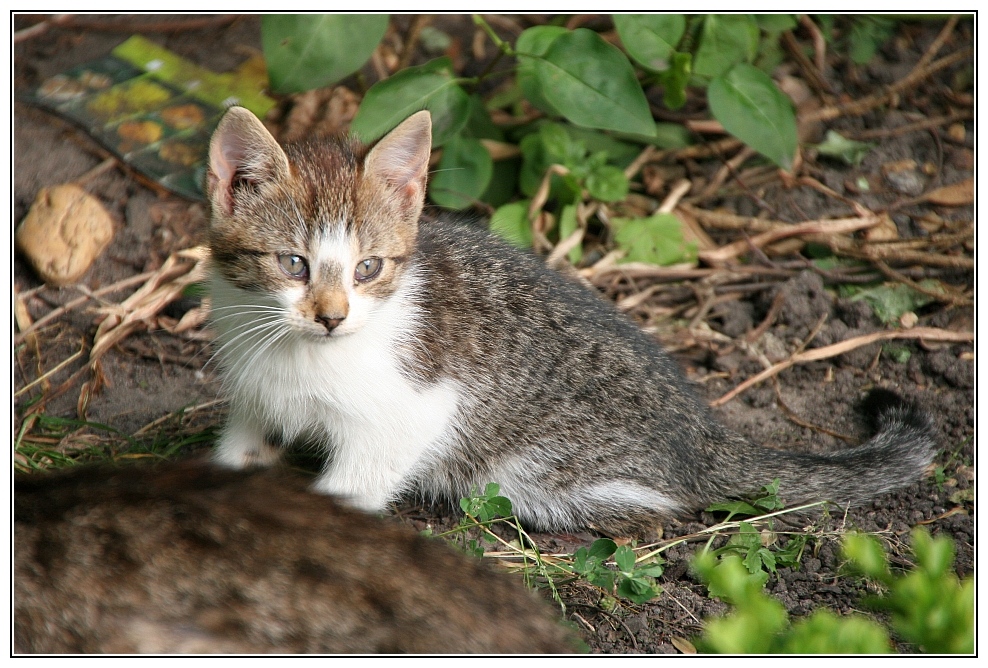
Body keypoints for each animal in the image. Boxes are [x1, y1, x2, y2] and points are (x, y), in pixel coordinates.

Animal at [206, 107, 932, 536]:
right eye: (294, 263)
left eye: (368, 268)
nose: (331, 318)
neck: (297, 353)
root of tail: (704, 433)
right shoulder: (254, 385)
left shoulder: (412, 409)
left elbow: (354, 483)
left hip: (534, 469)